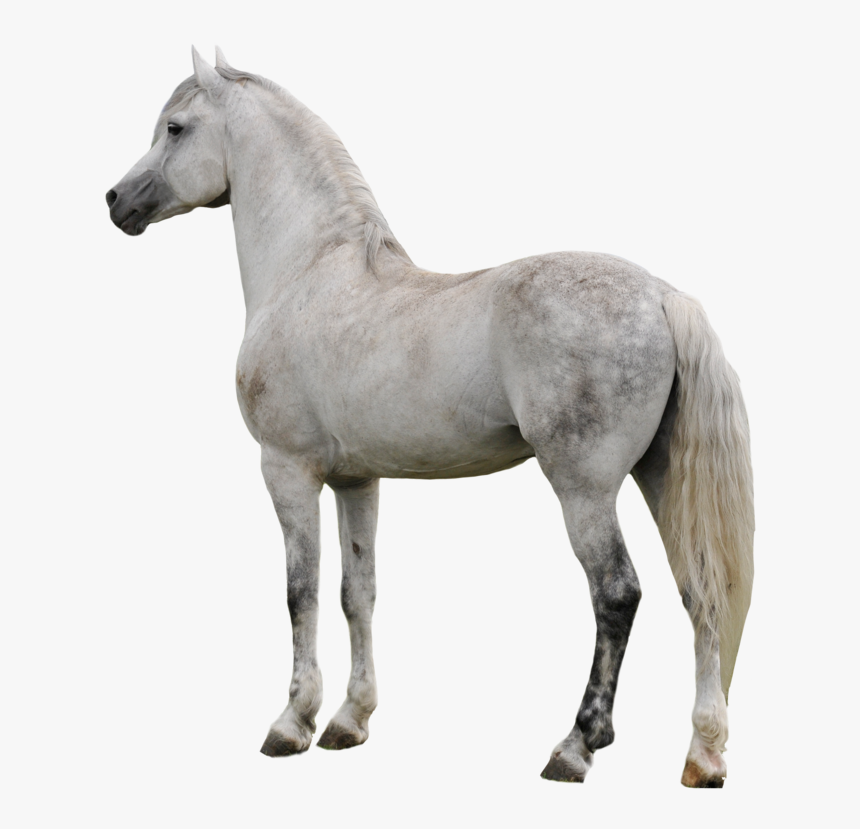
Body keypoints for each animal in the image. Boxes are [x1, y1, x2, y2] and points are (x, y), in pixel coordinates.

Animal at [106, 47, 754, 787]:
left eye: (175, 128)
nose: (116, 201)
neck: (310, 274)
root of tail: (663, 297)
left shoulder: (287, 469)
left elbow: (301, 591)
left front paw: (291, 722)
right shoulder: (356, 480)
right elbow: (357, 591)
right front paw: (349, 721)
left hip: (584, 488)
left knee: (618, 593)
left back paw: (576, 744)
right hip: (660, 477)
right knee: (701, 592)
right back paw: (703, 755)